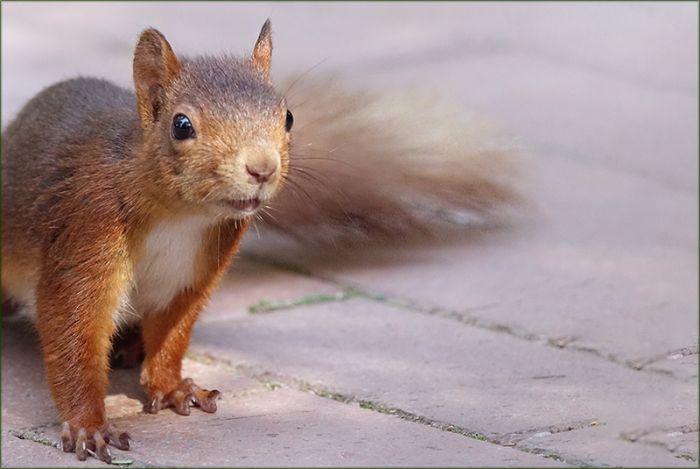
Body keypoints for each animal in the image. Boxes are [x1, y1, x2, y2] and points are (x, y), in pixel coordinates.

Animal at [1, 20, 519, 463]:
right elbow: (73, 331)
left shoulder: (197, 270)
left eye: (287, 116)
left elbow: (173, 331)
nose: (262, 168)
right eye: (181, 125)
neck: (181, 216)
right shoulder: (86, 233)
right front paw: (89, 426)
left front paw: (172, 387)